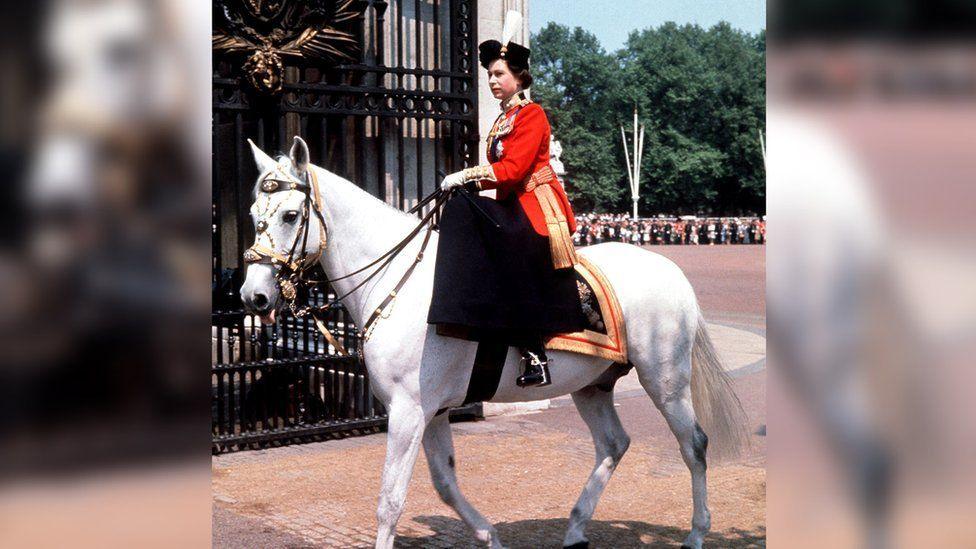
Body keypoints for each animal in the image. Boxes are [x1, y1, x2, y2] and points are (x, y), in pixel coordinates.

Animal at [240, 137, 744, 548]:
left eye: (290, 215)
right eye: (252, 216)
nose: (253, 295)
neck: (396, 280)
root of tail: (670, 268)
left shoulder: (408, 410)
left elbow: (390, 502)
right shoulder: (431, 410)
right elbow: (443, 484)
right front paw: (489, 536)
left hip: (665, 380)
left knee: (694, 444)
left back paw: (697, 533)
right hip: (593, 384)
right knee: (614, 444)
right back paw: (576, 528)